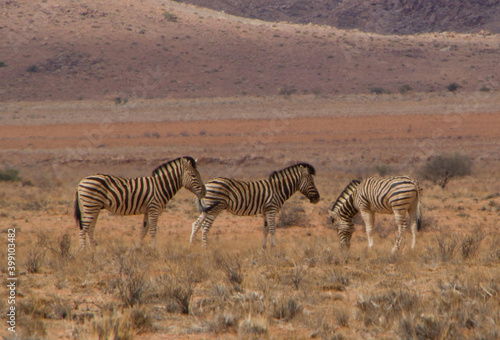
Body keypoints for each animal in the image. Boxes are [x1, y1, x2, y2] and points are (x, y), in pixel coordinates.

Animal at [73, 157, 205, 250]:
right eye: (193, 175)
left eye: (199, 175)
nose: (204, 191)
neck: (161, 186)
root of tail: (81, 182)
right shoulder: (154, 208)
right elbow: (153, 230)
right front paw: (154, 249)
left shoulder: (148, 210)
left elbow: (143, 230)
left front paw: (138, 248)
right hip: (90, 205)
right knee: (83, 228)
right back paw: (83, 250)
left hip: (95, 207)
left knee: (90, 228)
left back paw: (93, 250)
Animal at [189, 162, 318, 247]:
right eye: (311, 182)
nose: (318, 198)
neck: (278, 189)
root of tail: (206, 185)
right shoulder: (271, 209)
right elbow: (272, 229)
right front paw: (274, 249)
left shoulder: (266, 211)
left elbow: (265, 230)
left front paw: (264, 249)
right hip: (215, 208)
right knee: (205, 227)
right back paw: (205, 249)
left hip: (207, 208)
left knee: (196, 224)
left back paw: (192, 247)